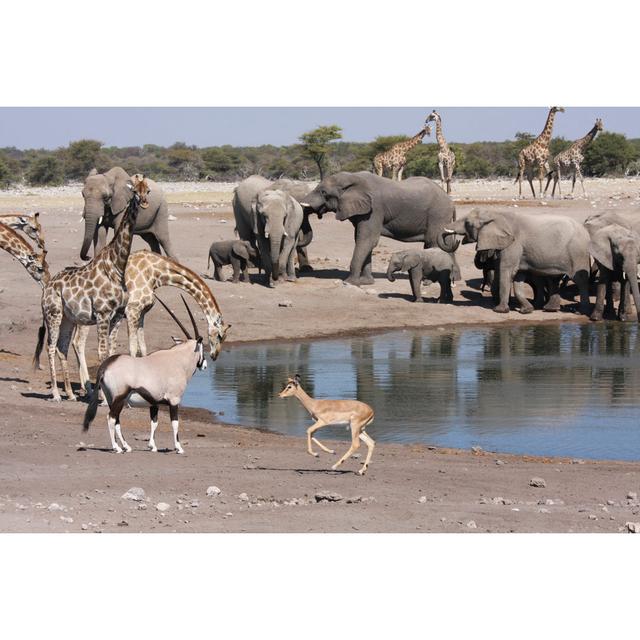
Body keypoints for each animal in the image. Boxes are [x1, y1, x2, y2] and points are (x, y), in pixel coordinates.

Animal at [35, 172, 150, 398]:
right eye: (134, 190)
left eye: (148, 190)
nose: (143, 201)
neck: (117, 266)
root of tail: (46, 288)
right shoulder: (102, 314)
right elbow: (102, 352)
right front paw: (102, 398)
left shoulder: (116, 315)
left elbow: (112, 352)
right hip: (53, 314)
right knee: (51, 347)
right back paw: (55, 394)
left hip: (68, 319)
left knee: (62, 347)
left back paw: (70, 394)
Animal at [72, 249, 228, 390]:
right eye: (220, 336)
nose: (214, 356)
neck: (155, 272)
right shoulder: (132, 310)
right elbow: (133, 348)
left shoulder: (142, 313)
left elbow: (143, 346)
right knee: (79, 342)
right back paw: (87, 388)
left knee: (73, 341)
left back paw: (82, 387)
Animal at [300, 170, 456, 284]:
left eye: (323, 192)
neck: (353, 178)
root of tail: (451, 201)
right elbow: (362, 240)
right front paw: (366, 282)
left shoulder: (375, 209)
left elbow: (368, 240)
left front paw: (349, 282)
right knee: (445, 244)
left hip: (438, 214)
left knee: (433, 242)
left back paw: (429, 282)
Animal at [438, 208, 592, 316]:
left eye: (468, 224)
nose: (457, 241)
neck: (497, 214)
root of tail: (585, 231)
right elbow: (518, 277)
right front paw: (526, 310)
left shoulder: (514, 244)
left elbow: (507, 271)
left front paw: (499, 310)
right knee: (553, 279)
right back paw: (550, 309)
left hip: (578, 253)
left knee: (581, 280)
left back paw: (581, 311)